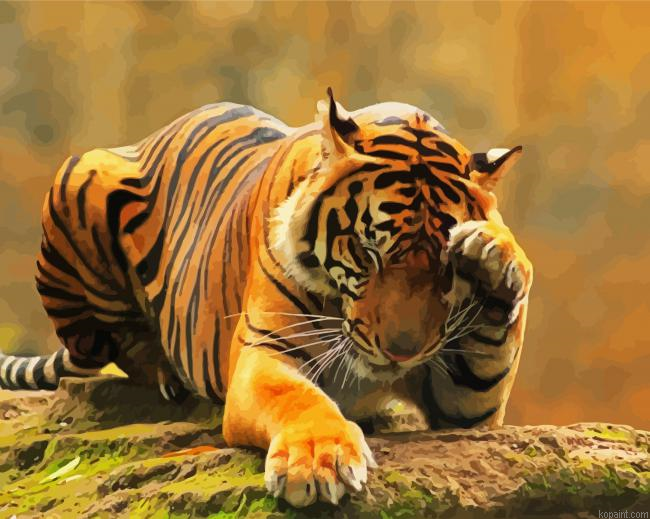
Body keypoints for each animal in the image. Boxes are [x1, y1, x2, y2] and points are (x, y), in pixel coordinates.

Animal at [0, 88, 532, 507]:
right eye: (368, 252)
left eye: (445, 267)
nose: (401, 353)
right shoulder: (264, 351)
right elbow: (295, 396)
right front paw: (319, 459)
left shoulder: (467, 405)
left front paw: (495, 254)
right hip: (81, 175)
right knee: (111, 343)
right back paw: (166, 375)